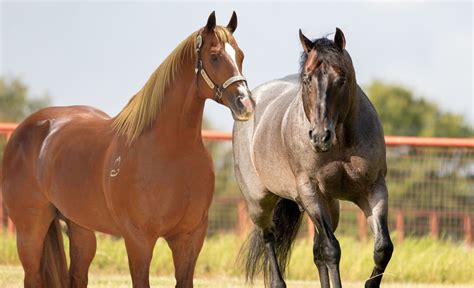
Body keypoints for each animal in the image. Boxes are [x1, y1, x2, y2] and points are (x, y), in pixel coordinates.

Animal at [1, 11, 254, 288]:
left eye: (240, 55)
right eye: (215, 56)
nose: (245, 103)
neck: (172, 152)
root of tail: (26, 130)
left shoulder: (190, 237)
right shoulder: (138, 240)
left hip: (80, 228)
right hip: (30, 229)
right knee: (32, 276)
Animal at [233, 27, 392, 288]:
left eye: (342, 79)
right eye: (307, 79)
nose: (319, 136)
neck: (341, 142)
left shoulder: (373, 189)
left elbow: (382, 248)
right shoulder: (311, 191)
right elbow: (331, 250)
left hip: (329, 205)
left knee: (317, 251)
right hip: (260, 203)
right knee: (269, 238)